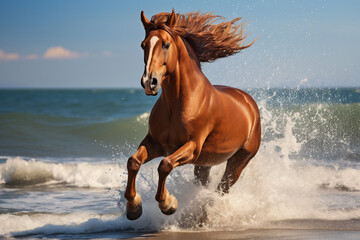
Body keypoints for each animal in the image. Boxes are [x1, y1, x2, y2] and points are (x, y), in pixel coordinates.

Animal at [125, 9, 260, 219]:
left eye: (166, 44)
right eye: (143, 45)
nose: (149, 82)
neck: (178, 103)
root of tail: (248, 101)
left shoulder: (192, 147)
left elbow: (165, 165)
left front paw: (168, 204)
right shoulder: (155, 143)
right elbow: (133, 161)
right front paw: (133, 207)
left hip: (239, 161)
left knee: (222, 189)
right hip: (204, 164)